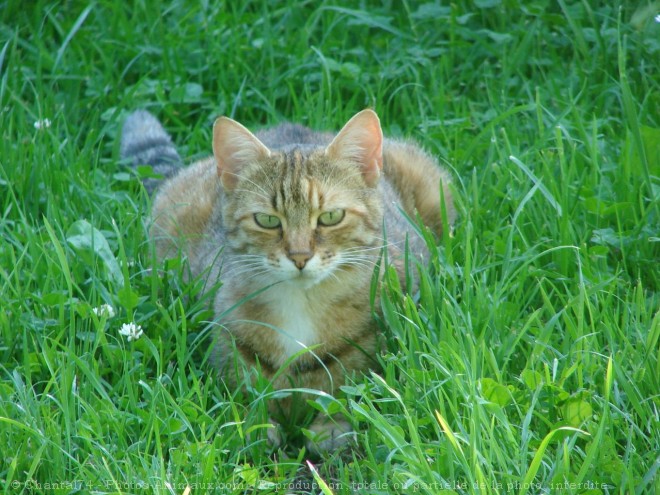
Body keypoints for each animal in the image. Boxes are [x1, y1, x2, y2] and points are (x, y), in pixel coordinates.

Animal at [121, 110, 456, 456]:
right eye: (267, 220)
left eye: (331, 216)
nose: (299, 256)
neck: (302, 304)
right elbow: (242, 398)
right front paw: (254, 425)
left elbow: (349, 391)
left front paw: (332, 426)